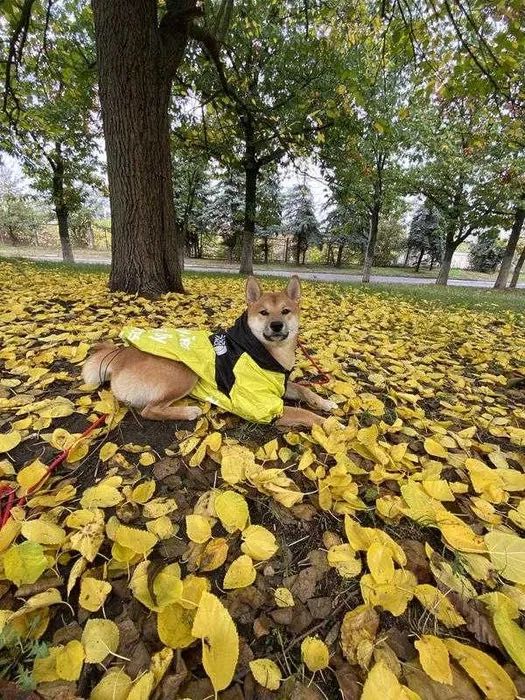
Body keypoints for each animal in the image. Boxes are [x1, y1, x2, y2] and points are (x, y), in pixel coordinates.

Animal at [82, 276, 336, 430]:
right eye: (264, 312)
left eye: (285, 311)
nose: (276, 325)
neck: (260, 351)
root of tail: (123, 355)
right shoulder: (263, 406)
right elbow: (307, 415)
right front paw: (333, 427)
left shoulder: (279, 386)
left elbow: (305, 390)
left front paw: (326, 403)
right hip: (185, 373)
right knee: (149, 410)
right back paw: (188, 411)